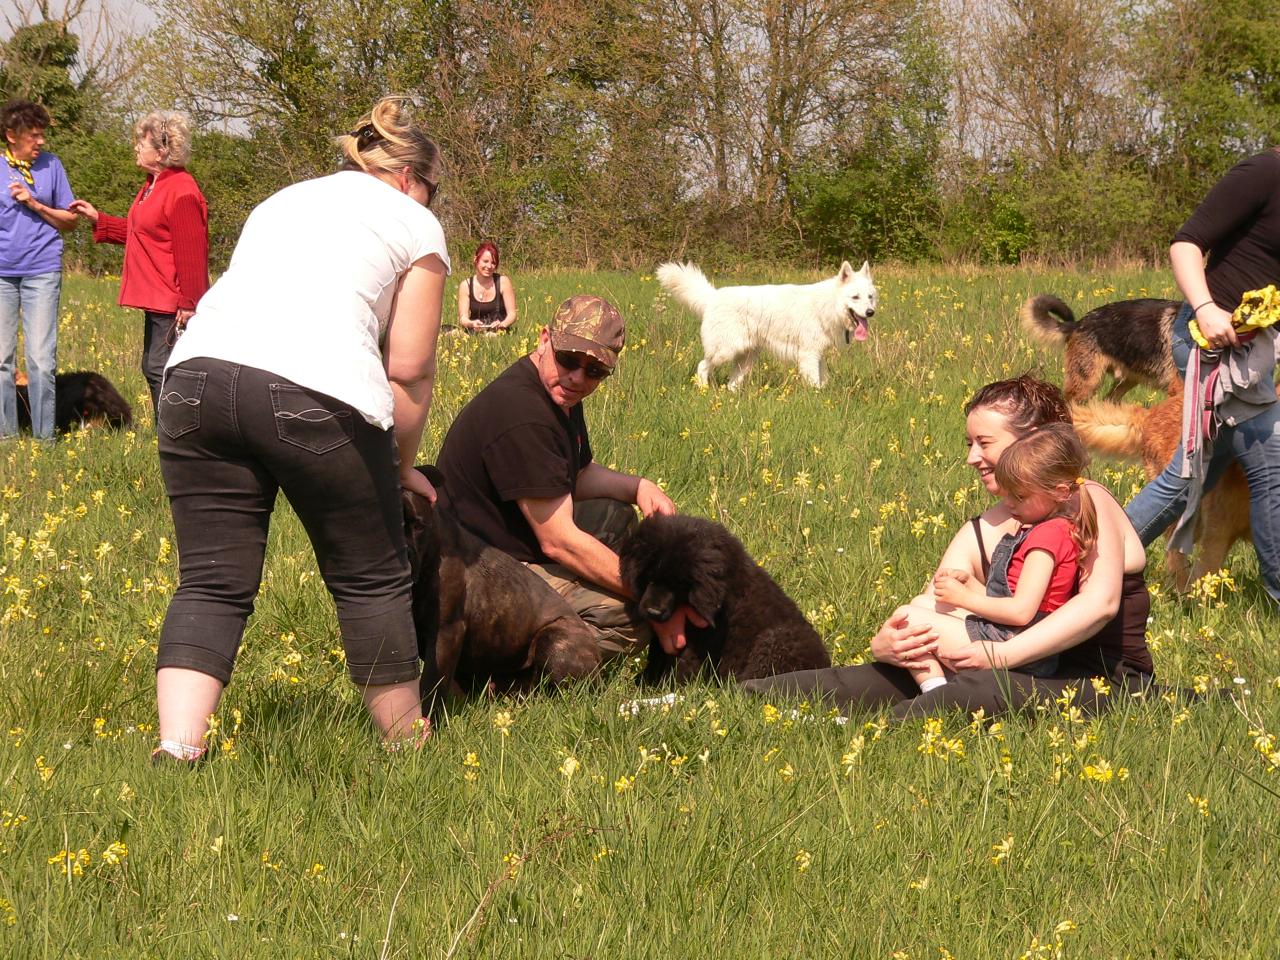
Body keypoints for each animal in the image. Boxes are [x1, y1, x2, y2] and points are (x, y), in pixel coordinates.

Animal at [616, 514, 829, 686]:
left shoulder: (697, 639)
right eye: (650, 577)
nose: (653, 612)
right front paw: (644, 683)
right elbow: (657, 656)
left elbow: (682, 664)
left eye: (680, 586)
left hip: (775, 642)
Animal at [655, 261, 875, 389]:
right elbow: (814, 382)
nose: (870, 312)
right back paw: (703, 390)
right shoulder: (809, 354)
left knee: (731, 383)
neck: (827, 304)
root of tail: (713, 296)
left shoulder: (817, 354)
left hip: (746, 359)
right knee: (702, 366)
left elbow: (822, 379)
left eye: (870, 297)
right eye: (855, 297)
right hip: (724, 351)